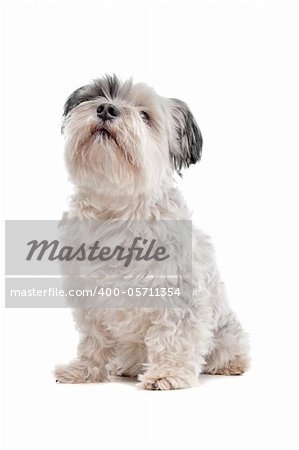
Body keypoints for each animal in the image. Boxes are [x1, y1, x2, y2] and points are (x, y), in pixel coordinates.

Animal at [54, 74, 251, 390]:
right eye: (97, 96)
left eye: (145, 116)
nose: (106, 109)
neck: (116, 214)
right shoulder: (88, 299)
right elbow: (94, 340)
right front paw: (85, 370)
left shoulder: (177, 295)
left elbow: (173, 336)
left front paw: (166, 373)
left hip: (225, 335)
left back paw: (230, 365)